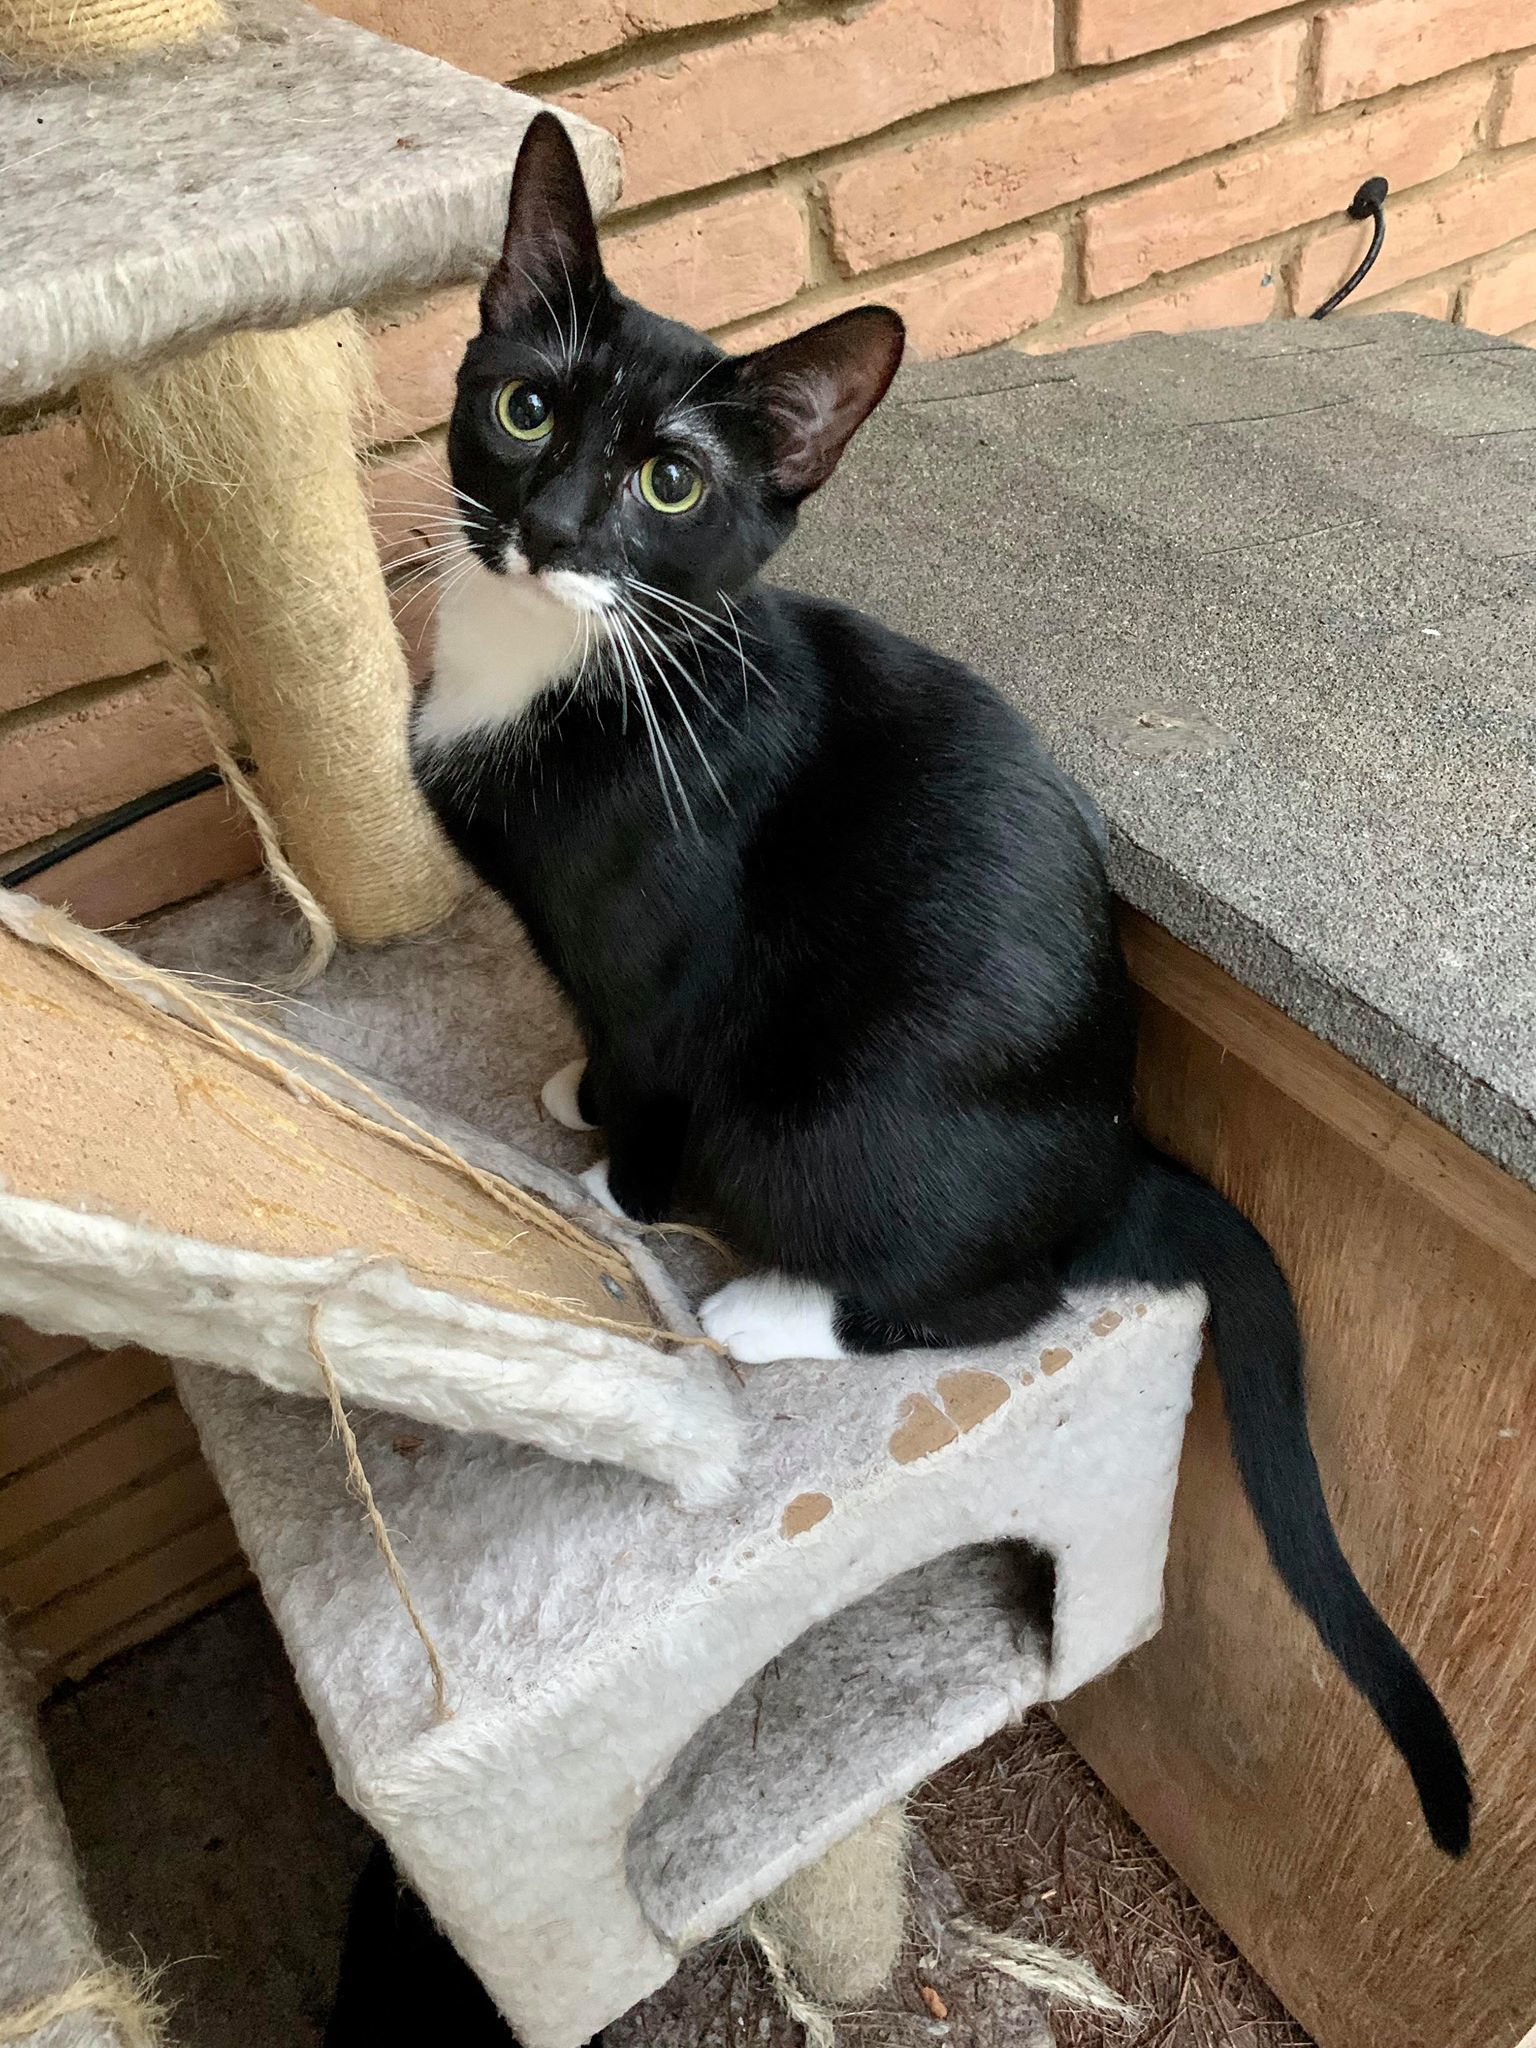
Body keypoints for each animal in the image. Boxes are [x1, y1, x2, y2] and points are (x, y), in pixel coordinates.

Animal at [409, 112, 1466, 1851]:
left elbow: (652, 1069)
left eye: (672, 479)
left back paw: (767, 1303)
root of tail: (1114, 1168)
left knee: (997, 1292)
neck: (572, 667)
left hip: (831, 1123)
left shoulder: (669, 955)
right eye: (524, 406)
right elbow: (596, 1041)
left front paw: (616, 1184)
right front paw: (573, 1089)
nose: (549, 528)